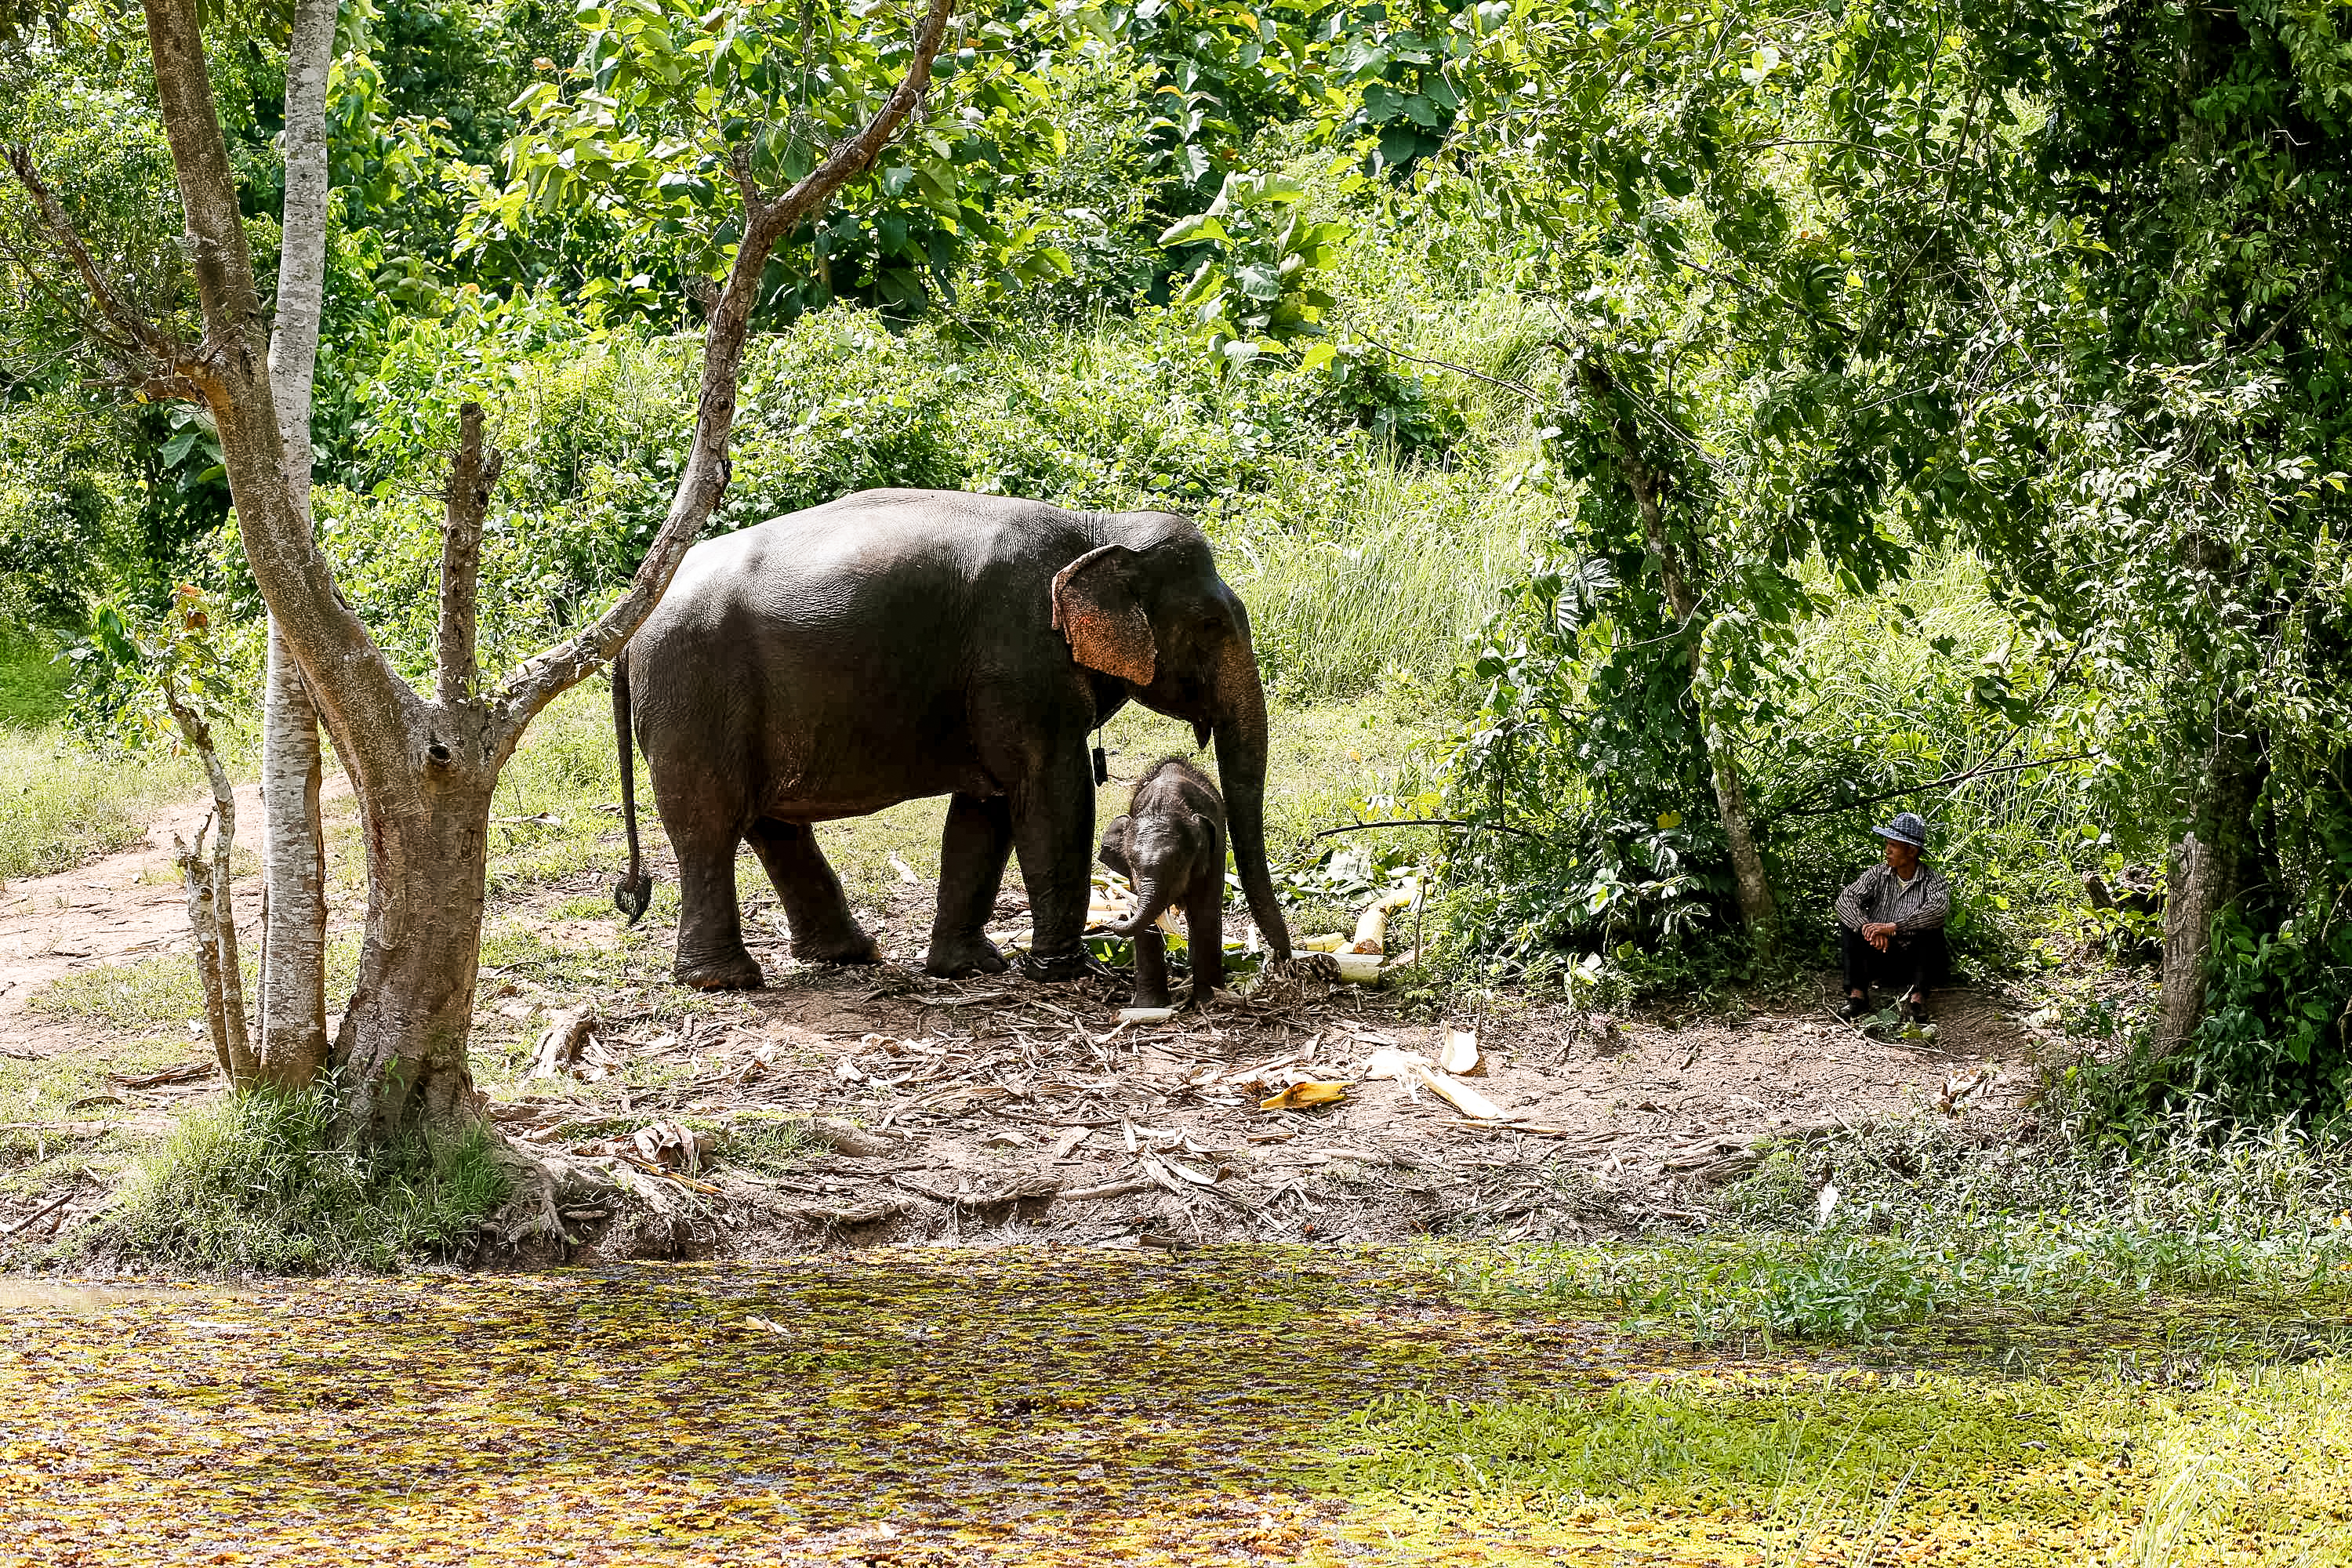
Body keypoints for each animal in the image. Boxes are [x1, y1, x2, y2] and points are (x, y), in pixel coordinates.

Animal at [1098, 757, 1228, 1009]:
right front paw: (1149, 1007)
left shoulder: (1214, 855)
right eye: (1134, 868)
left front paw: (1208, 1003)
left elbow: (1205, 913)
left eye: (1178, 868)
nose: (1113, 919)